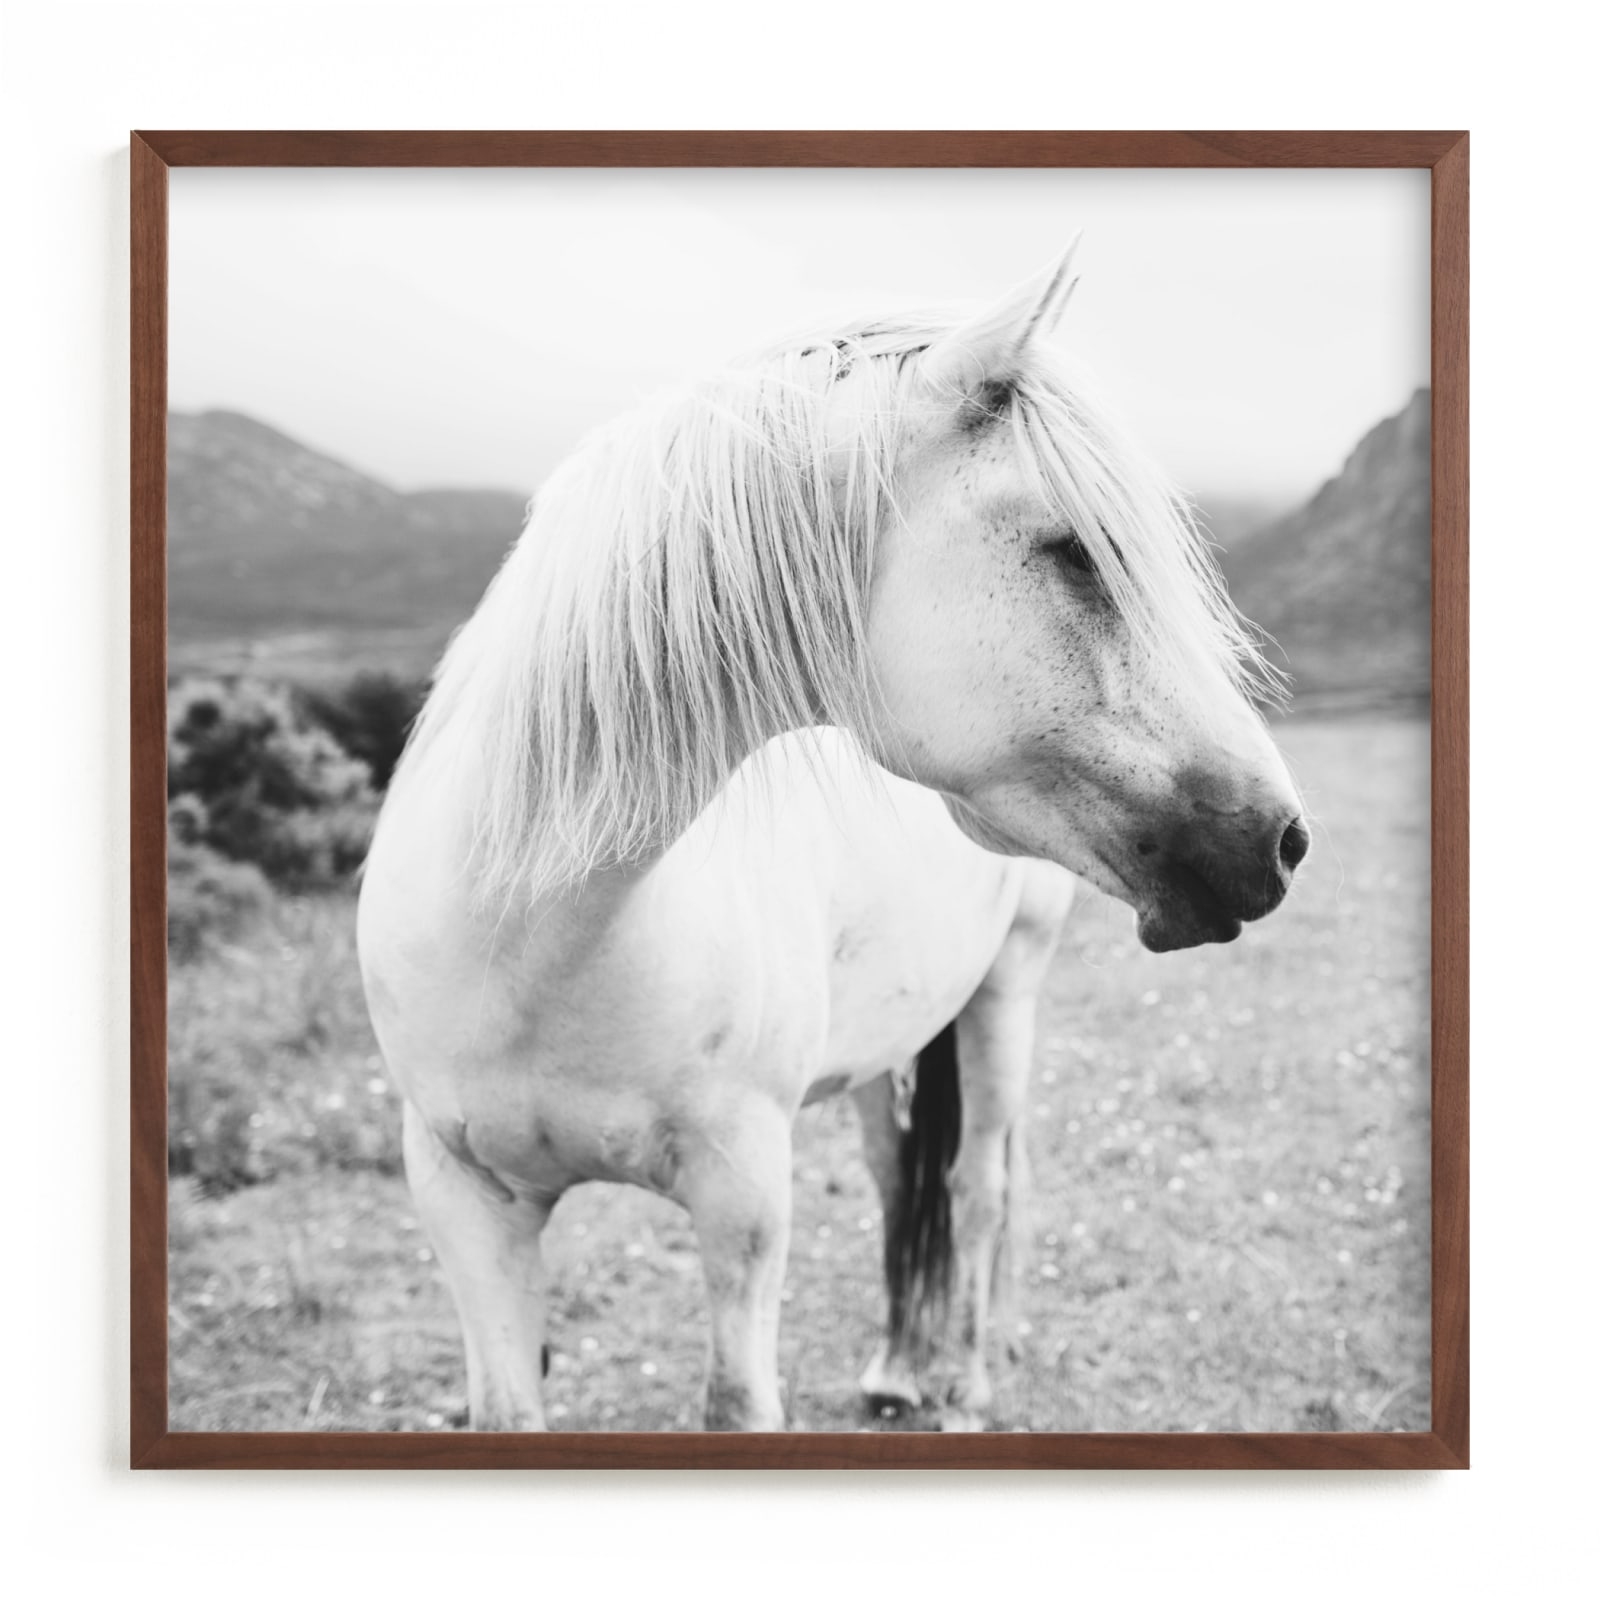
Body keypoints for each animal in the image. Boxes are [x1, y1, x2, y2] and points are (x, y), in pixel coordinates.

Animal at [356, 241, 1309, 1432]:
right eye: (1074, 551)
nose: (1279, 839)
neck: (530, 944)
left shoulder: (741, 1193)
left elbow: (737, 1400)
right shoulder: (462, 1201)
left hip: (1007, 990)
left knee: (980, 1183)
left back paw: (967, 1377)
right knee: (904, 1174)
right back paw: (899, 1364)